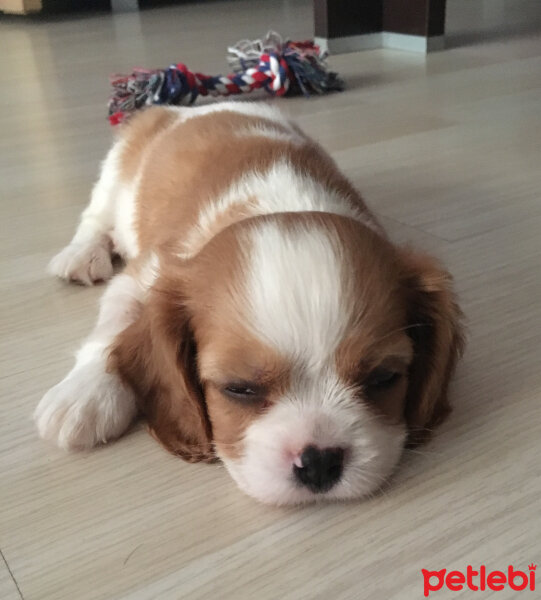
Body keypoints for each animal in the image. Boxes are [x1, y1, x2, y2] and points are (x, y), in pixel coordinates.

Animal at [34, 101, 464, 504]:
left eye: (383, 377)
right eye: (239, 388)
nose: (319, 461)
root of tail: (186, 108)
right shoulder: (144, 276)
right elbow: (111, 330)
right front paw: (85, 395)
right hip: (115, 172)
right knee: (94, 219)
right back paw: (82, 255)